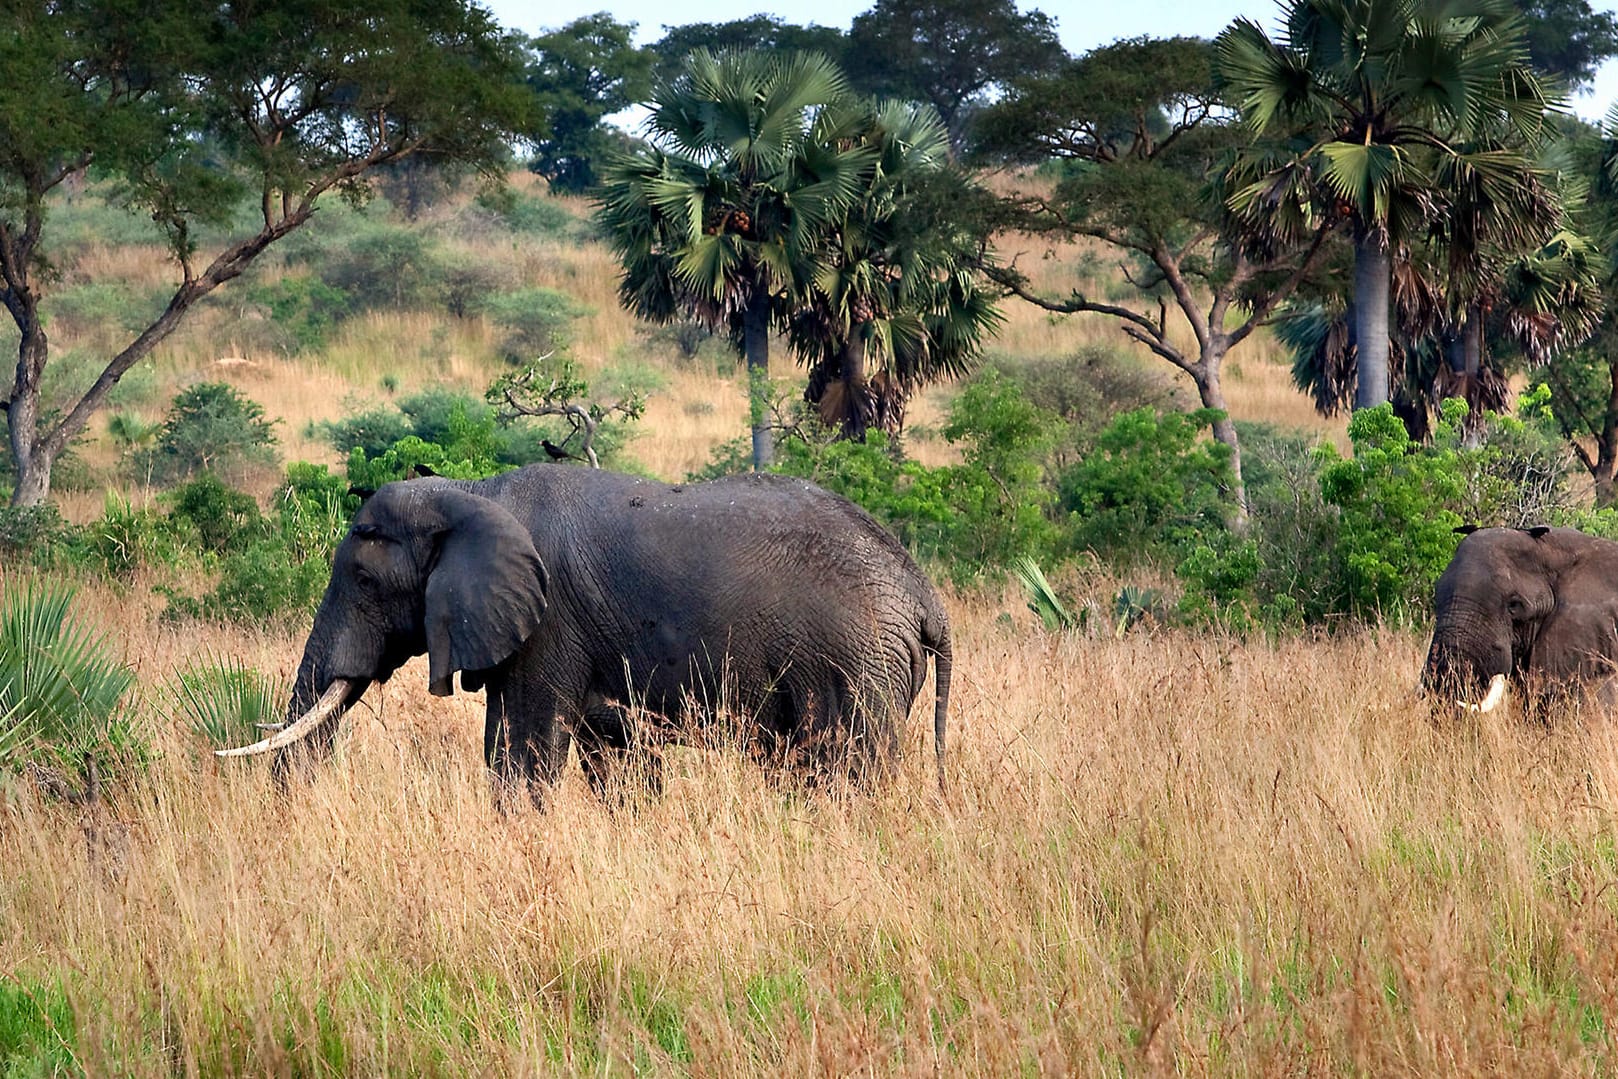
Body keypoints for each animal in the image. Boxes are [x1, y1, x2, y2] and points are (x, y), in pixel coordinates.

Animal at [215, 465, 944, 802]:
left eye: (364, 580)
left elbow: (521, 753)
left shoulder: (549, 622)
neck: (474, 493)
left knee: (846, 770)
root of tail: (923, 592)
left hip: (859, 664)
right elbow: (616, 763)